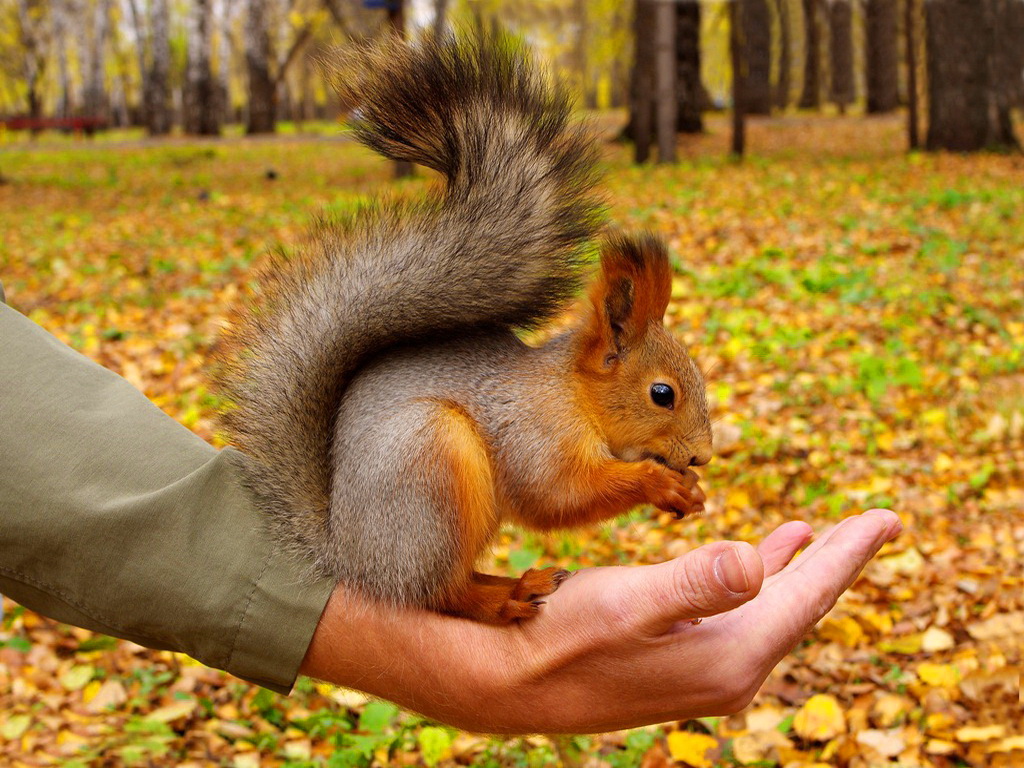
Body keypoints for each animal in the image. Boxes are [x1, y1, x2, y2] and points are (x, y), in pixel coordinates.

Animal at [215, 30, 713, 624]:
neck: (572, 394)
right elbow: (558, 495)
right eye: (662, 394)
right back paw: (507, 598)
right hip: (431, 468)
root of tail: (352, 559)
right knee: (439, 591)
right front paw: (661, 483)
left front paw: (691, 489)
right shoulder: (533, 435)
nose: (703, 456)